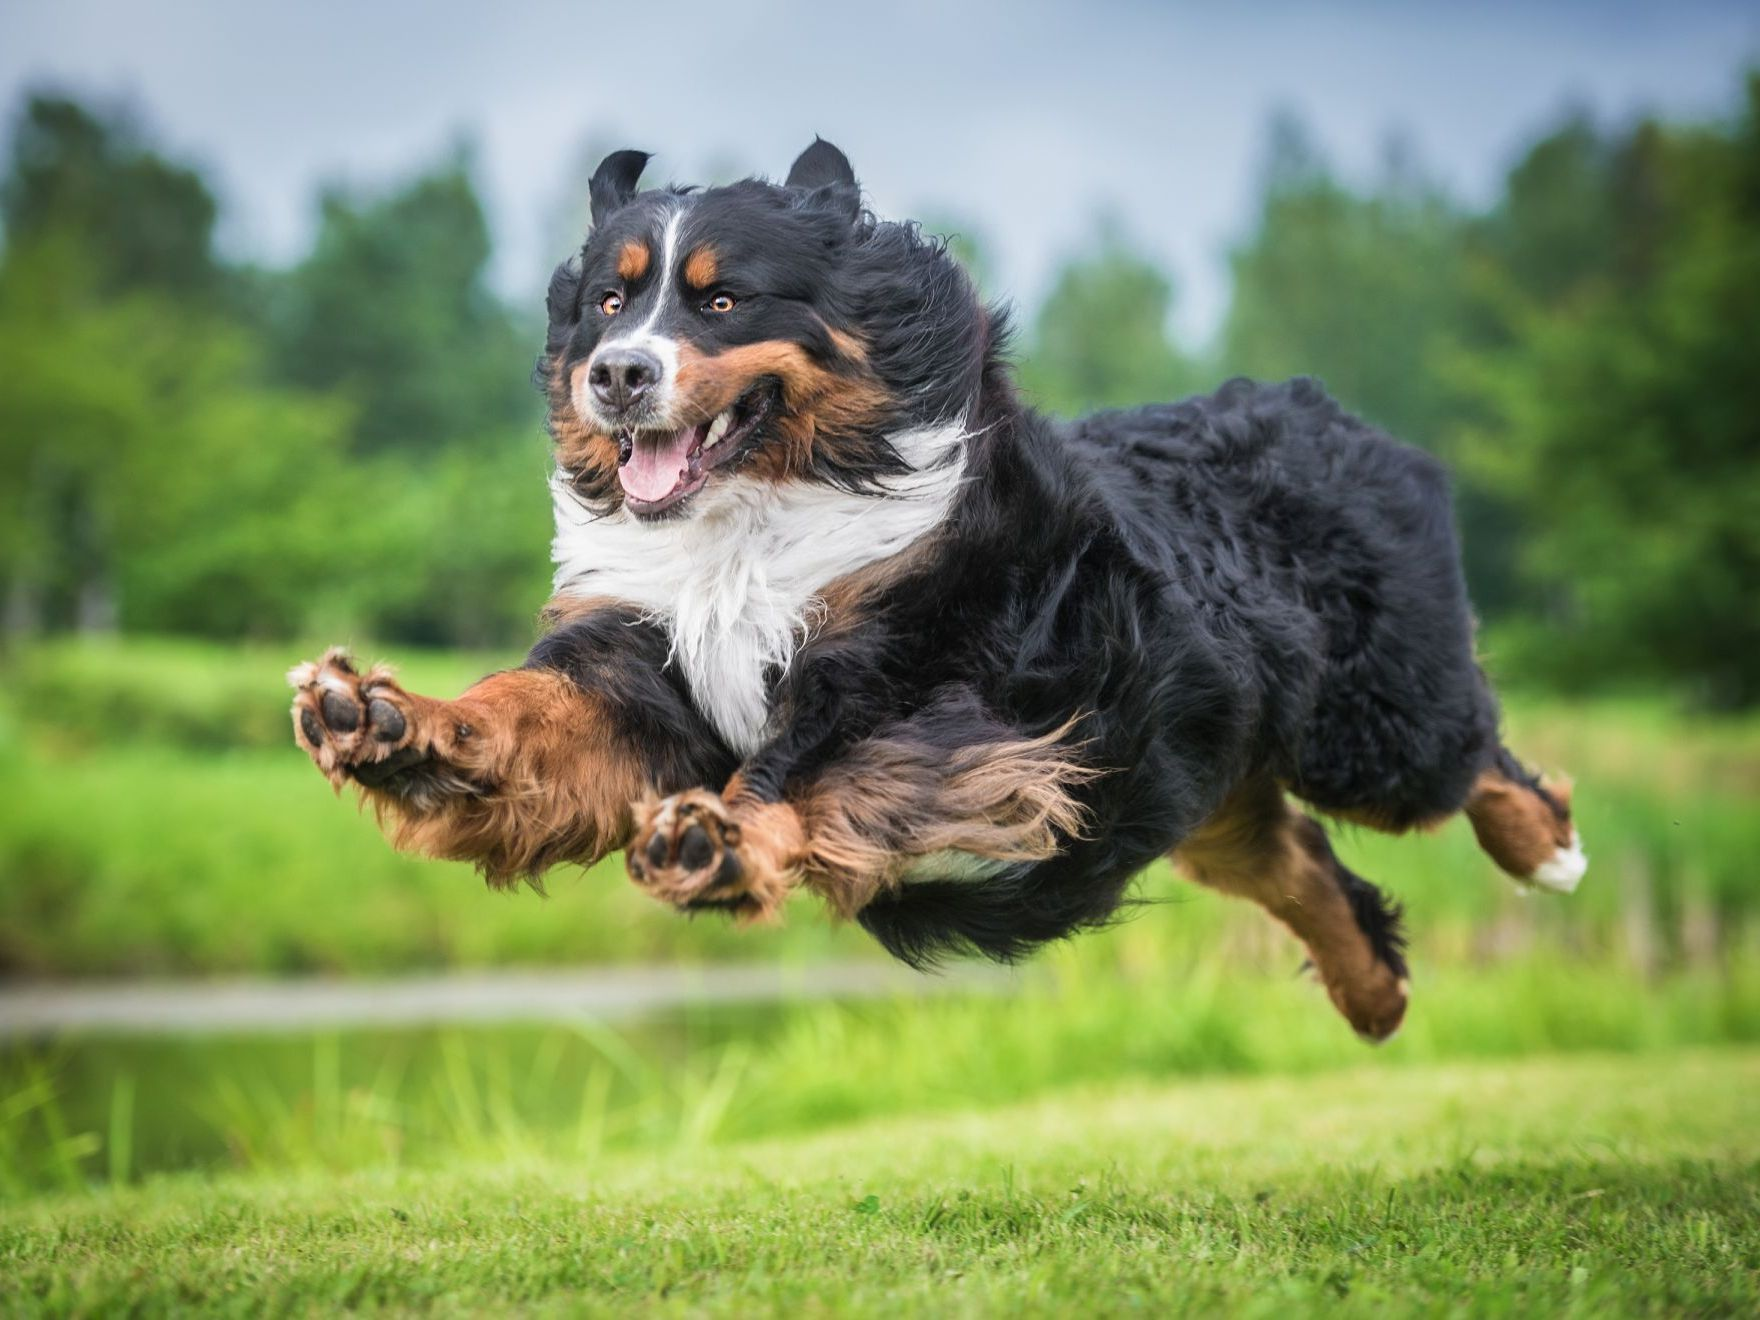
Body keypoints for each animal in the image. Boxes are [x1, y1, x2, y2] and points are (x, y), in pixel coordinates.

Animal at [288, 137, 1584, 1041]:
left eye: (720, 299)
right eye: (608, 301)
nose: (614, 375)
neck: (749, 526)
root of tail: (1329, 411)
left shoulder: (923, 680)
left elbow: (809, 770)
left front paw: (716, 840)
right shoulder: (636, 670)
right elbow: (519, 716)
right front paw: (380, 719)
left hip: (1370, 725)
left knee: (1472, 757)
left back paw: (1545, 852)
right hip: (1193, 777)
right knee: (1296, 860)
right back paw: (1373, 996)